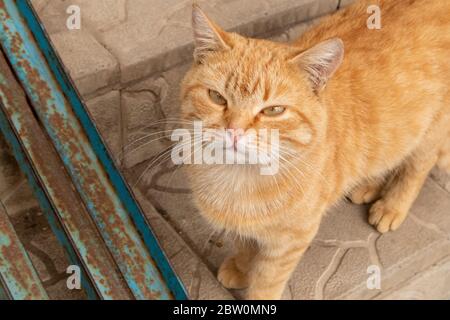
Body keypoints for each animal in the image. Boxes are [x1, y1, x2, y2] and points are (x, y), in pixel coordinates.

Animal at [179, 0, 450, 300]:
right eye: (217, 97)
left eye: (274, 110)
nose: (234, 131)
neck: (238, 178)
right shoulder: (246, 227)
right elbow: (245, 244)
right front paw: (241, 267)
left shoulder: (291, 240)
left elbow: (266, 281)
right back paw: (370, 184)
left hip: (432, 130)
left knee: (417, 166)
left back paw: (393, 205)